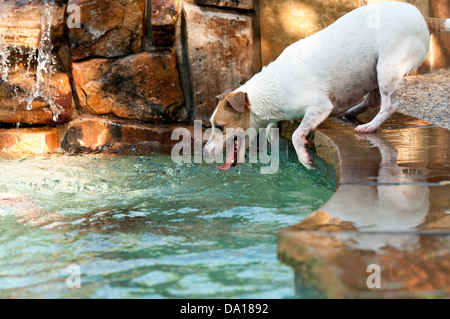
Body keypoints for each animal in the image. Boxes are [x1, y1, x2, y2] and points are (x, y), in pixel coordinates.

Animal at [205, 1, 450, 170]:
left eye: (220, 126)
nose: (205, 152)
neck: (270, 89)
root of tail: (422, 16)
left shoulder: (319, 107)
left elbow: (296, 135)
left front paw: (305, 158)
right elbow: (273, 129)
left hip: (387, 66)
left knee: (389, 104)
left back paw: (369, 126)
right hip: (374, 71)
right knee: (374, 99)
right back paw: (351, 113)